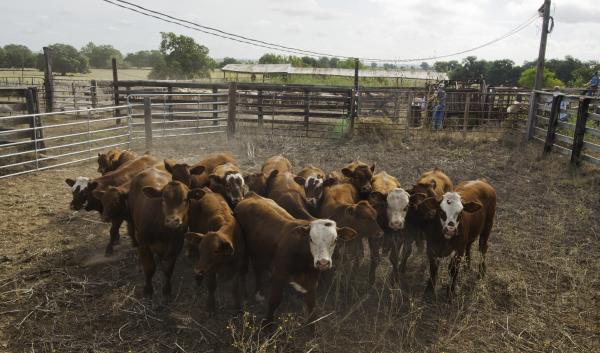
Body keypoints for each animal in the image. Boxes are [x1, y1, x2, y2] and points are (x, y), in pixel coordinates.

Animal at [127, 168, 203, 296]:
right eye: (163, 199)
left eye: (185, 199)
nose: (172, 221)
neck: (164, 233)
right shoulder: (143, 242)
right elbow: (149, 268)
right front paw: (148, 290)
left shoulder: (176, 245)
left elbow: (168, 269)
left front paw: (167, 290)